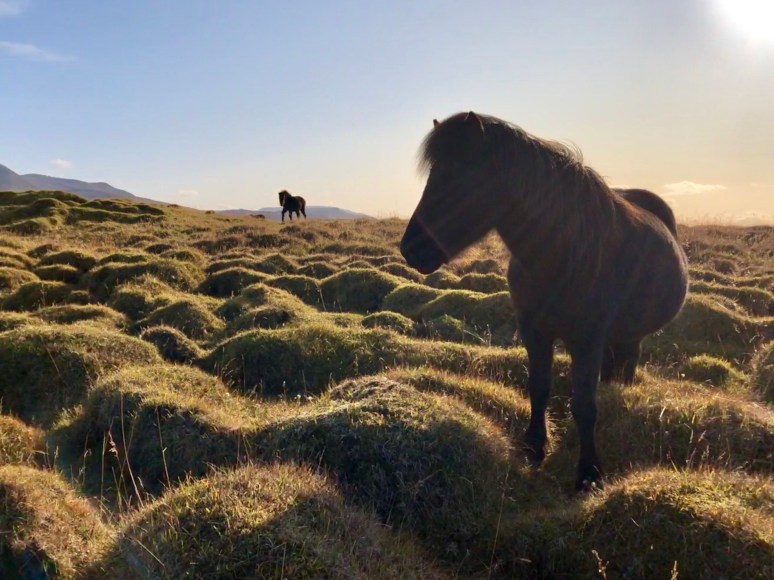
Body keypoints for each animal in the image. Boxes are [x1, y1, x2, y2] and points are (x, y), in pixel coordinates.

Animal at [400, 112, 688, 490]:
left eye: (462, 177)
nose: (411, 249)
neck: (561, 255)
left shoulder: (587, 339)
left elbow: (584, 405)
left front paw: (588, 473)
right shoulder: (534, 330)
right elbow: (538, 387)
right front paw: (533, 447)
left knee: (628, 360)